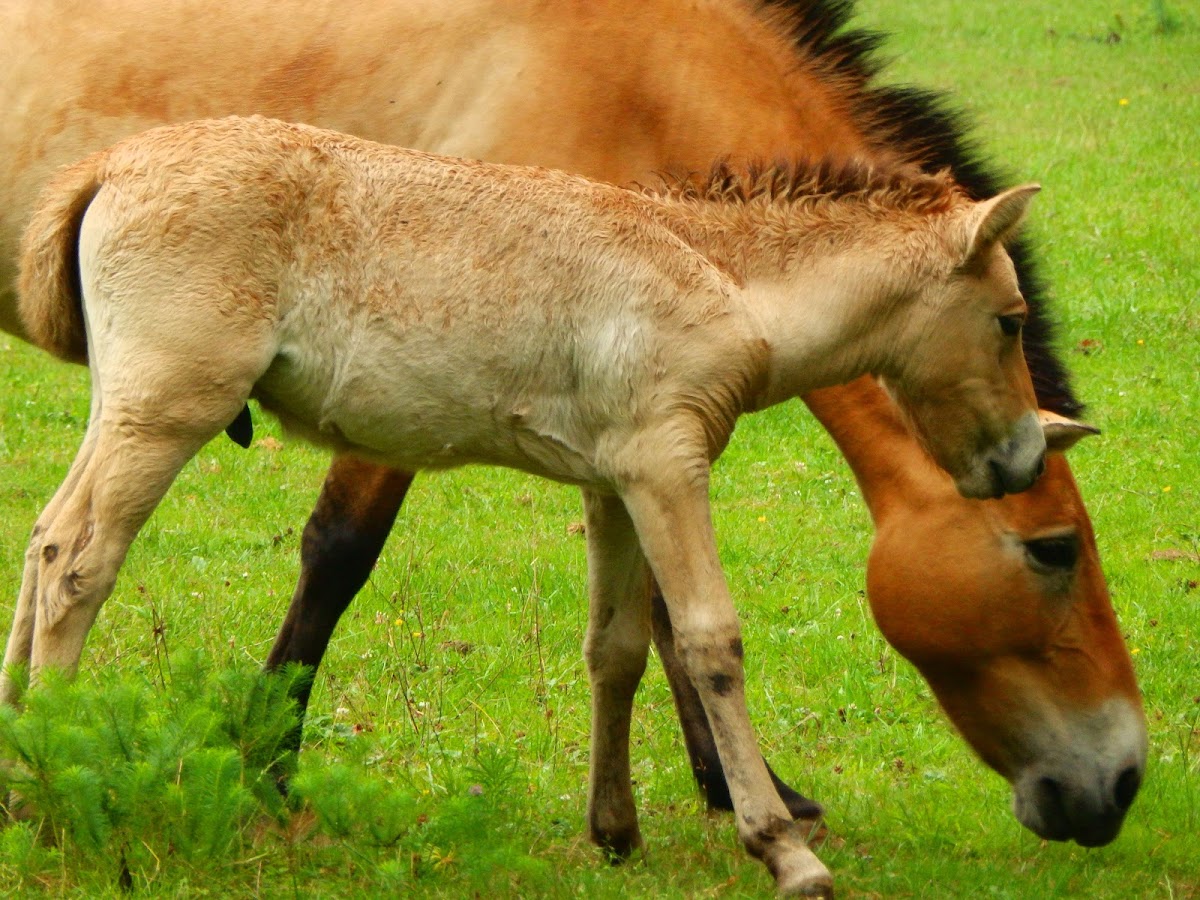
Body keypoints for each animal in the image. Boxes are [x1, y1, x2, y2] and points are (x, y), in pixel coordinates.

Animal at [0, 0, 1142, 859]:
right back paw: (54, 772)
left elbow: (629, 639)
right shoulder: (657, 461)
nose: (1118, 783)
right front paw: (773, 833)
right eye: (1054, 552)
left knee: (45, 540)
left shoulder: (617, 475)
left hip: (124, 407)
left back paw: (19, 747)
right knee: (81, 560)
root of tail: (107, 170)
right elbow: (697, 631)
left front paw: (646, 817)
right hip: (169, 411)